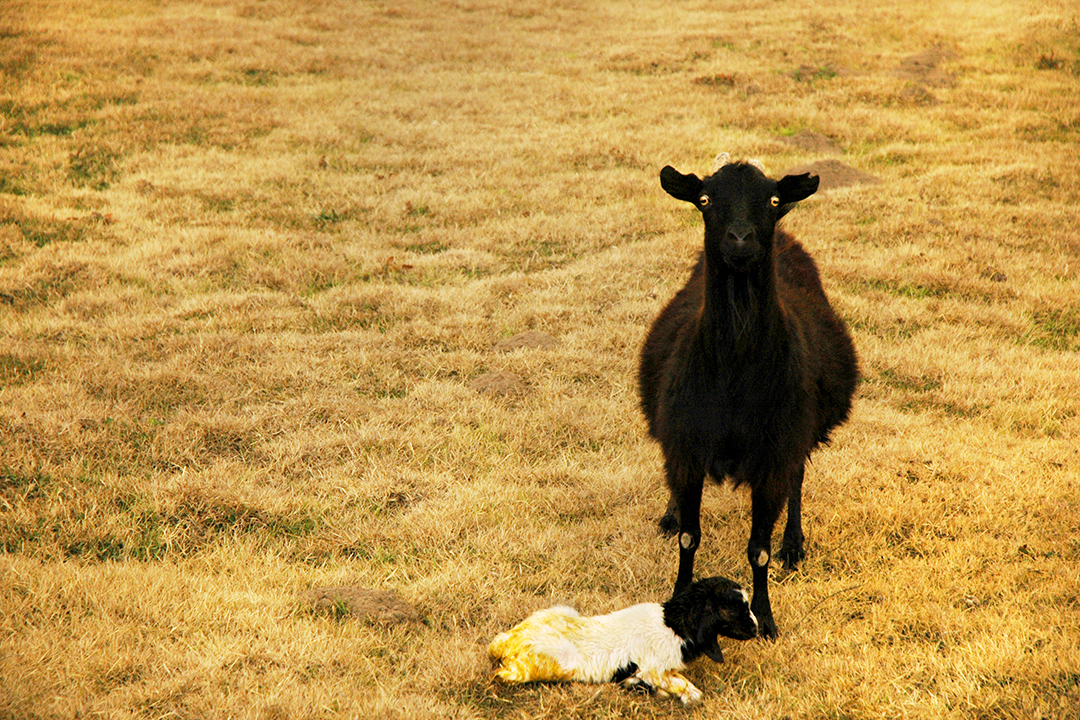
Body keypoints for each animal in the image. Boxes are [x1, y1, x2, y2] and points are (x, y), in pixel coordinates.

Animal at [488, 576, 758, 706]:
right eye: (732, 609)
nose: (755, 630)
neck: (673, 624)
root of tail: (505, 642)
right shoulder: (653, 668)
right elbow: (684, 686)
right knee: (499, 675)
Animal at [638, 157, 858, 638]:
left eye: (772, 200)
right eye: (704, 200)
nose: (740, 240)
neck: (735, 374)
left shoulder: (774, 453)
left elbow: (758, 548)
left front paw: (766, 617)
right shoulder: (686, 444)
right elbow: (689, 537)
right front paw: (678, 599)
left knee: (797, 480)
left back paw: (793, 545)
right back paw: (670, 512)